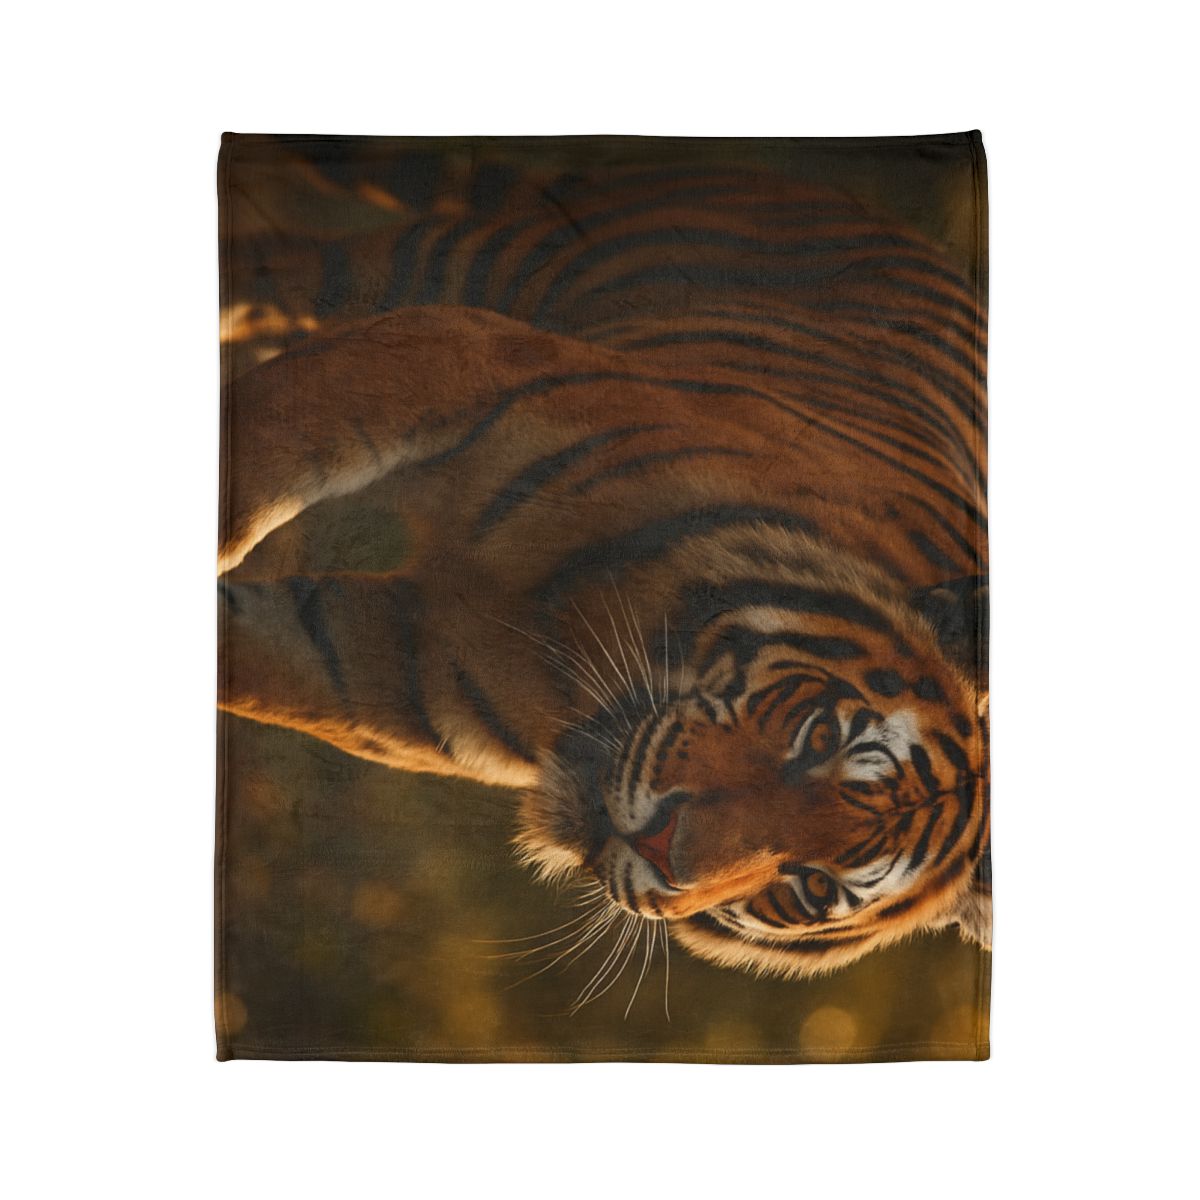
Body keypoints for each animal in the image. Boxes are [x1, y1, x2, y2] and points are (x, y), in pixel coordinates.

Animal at [218, 136, 990, 979]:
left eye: (809, 887)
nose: (659, 847)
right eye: (822, 739)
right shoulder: (467, 356)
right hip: (440, 260)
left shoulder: (379, 660)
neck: (588, 631)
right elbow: (260, 445)